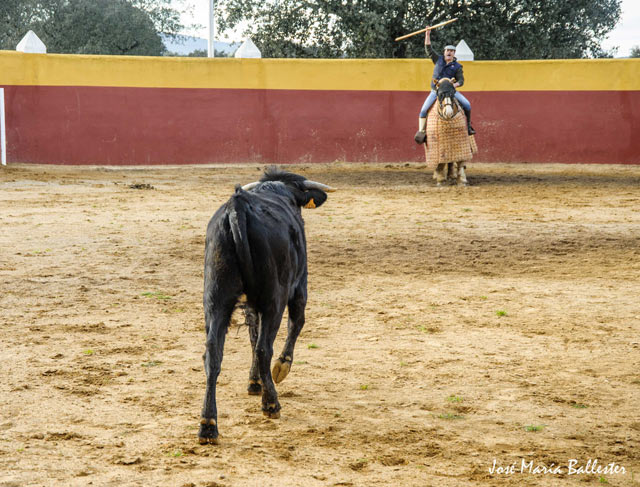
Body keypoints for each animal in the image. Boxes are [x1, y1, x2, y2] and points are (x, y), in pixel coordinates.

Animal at [200, 170, 332, 444]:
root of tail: (237, 208)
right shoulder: (299, 285)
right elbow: (296, 323)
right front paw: (281, 367)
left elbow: (252, 336)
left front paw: (254, 382)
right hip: (275, 297)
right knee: (264, 347)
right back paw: (271, 404)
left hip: (215, 298)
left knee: (213, 354)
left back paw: (208, 425)